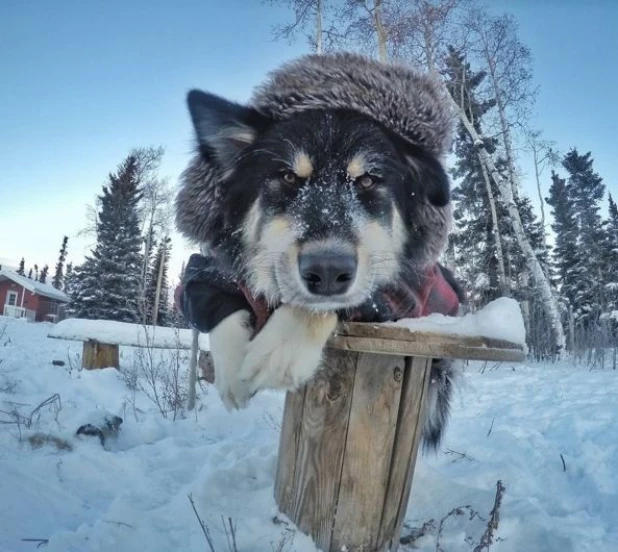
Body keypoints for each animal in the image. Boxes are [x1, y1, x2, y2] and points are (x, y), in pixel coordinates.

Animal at [173, 52, 462, 448]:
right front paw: (231, 369)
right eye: (288, 177)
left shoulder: (414, 294)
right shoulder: (203, 268)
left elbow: (342, 301)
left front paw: (284, 345)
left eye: (367, 180)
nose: (326, 271)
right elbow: (209, 294)